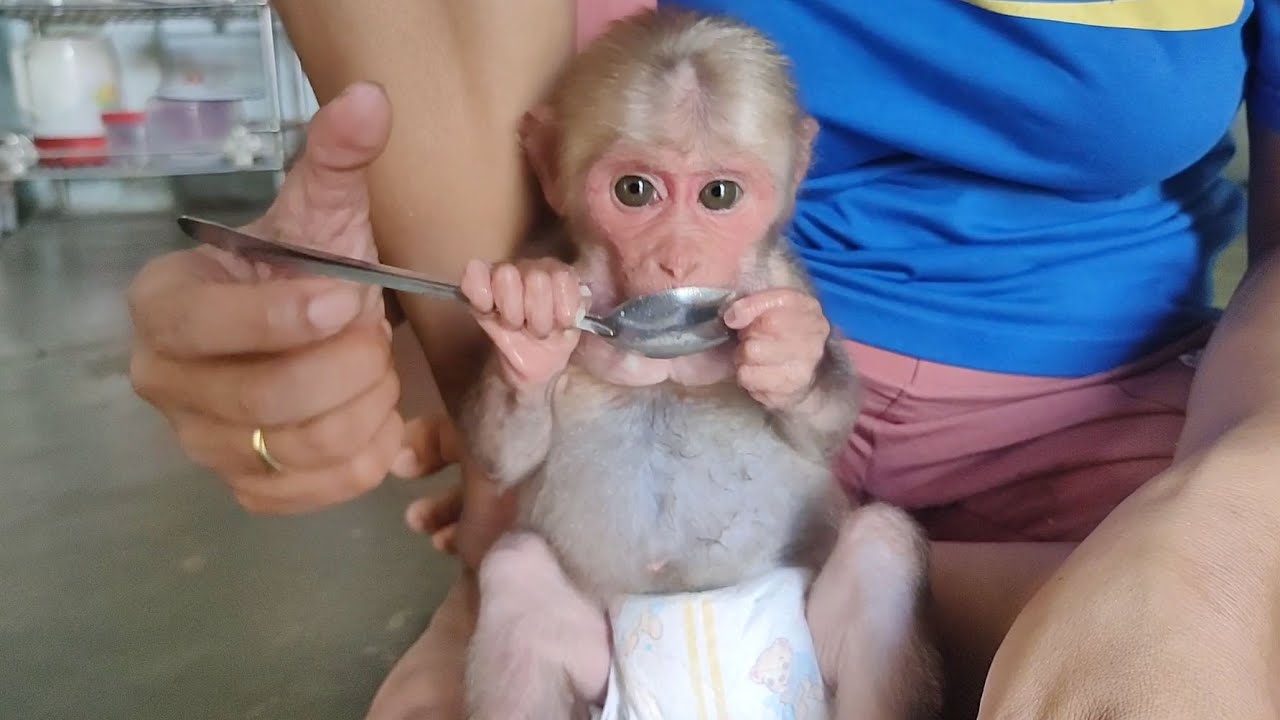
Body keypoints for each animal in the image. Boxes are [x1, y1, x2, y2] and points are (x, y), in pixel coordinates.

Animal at [453, 9, 943, 720]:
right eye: (635, 191)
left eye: (719, 195)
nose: (678, 261)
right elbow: (505, 455)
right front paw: (531, 326)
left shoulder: (786, 280)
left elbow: (824, 431)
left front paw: (792, 361)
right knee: (516, 573)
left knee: (884, 545)